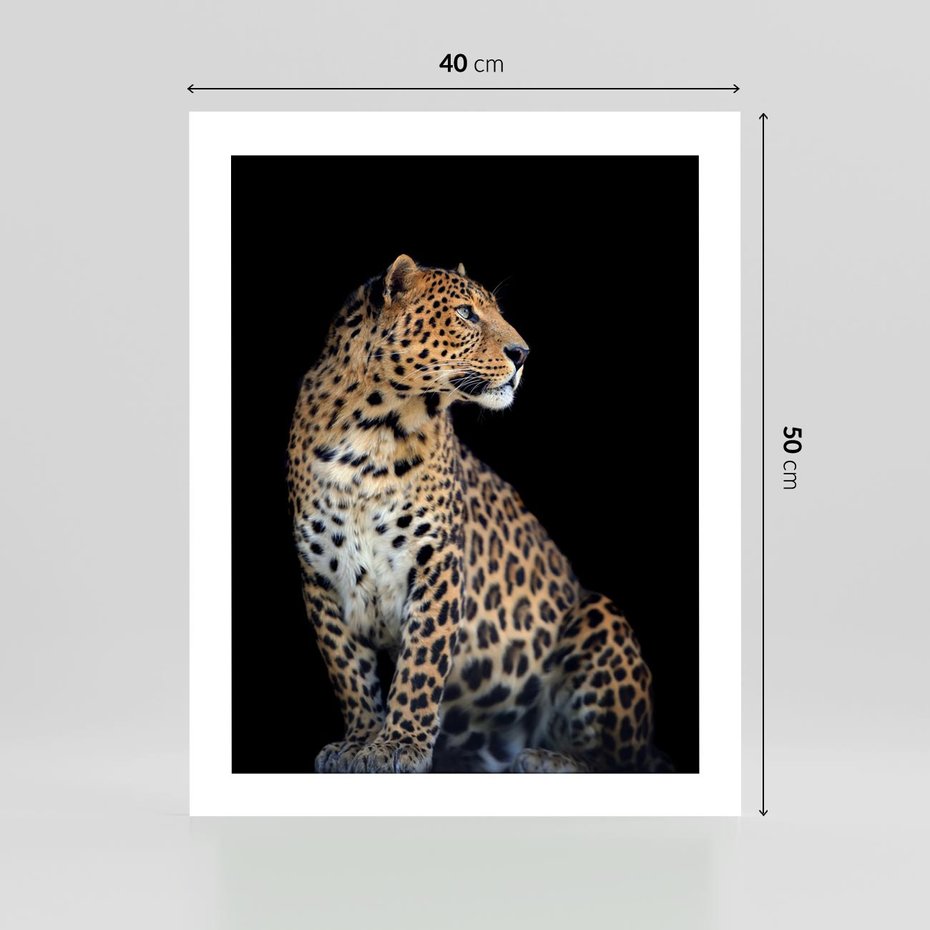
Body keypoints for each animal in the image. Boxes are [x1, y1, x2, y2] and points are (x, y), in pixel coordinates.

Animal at [287, 254, 669, 773]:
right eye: (466, 314)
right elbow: (348, 669)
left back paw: (549, 759)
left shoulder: (437, 561)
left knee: (621, 759)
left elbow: (420, 664)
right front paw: (360, 741)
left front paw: (398, 746)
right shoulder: (320, 576)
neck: (372, 432)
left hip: (599, 615)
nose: (523, 353)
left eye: (495, 311)